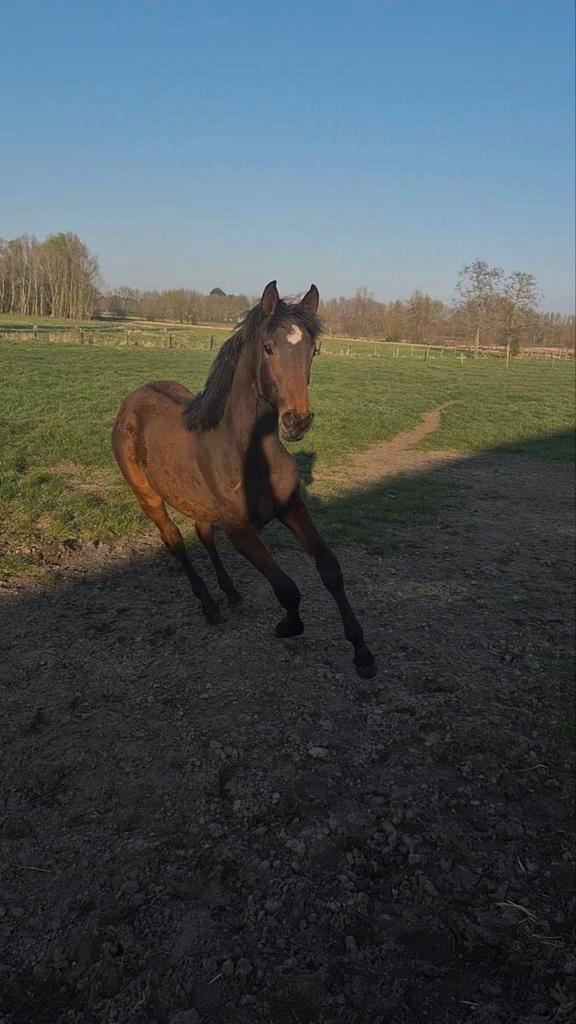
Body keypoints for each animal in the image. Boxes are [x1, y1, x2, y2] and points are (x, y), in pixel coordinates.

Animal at [112, 280, 376, 678]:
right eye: (268, 348)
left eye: (313, 350)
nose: (297, 421)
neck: (247, 451)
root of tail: (132, 400)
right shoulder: (240, 529)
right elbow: (287, 587)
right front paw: (288, 625)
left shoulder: (292, 507)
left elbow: (330, 569)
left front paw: (362, 653)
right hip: (149, 497)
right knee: (174, 541)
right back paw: (209, 605)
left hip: (197, 502)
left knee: (203, 534)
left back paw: (231, 592)